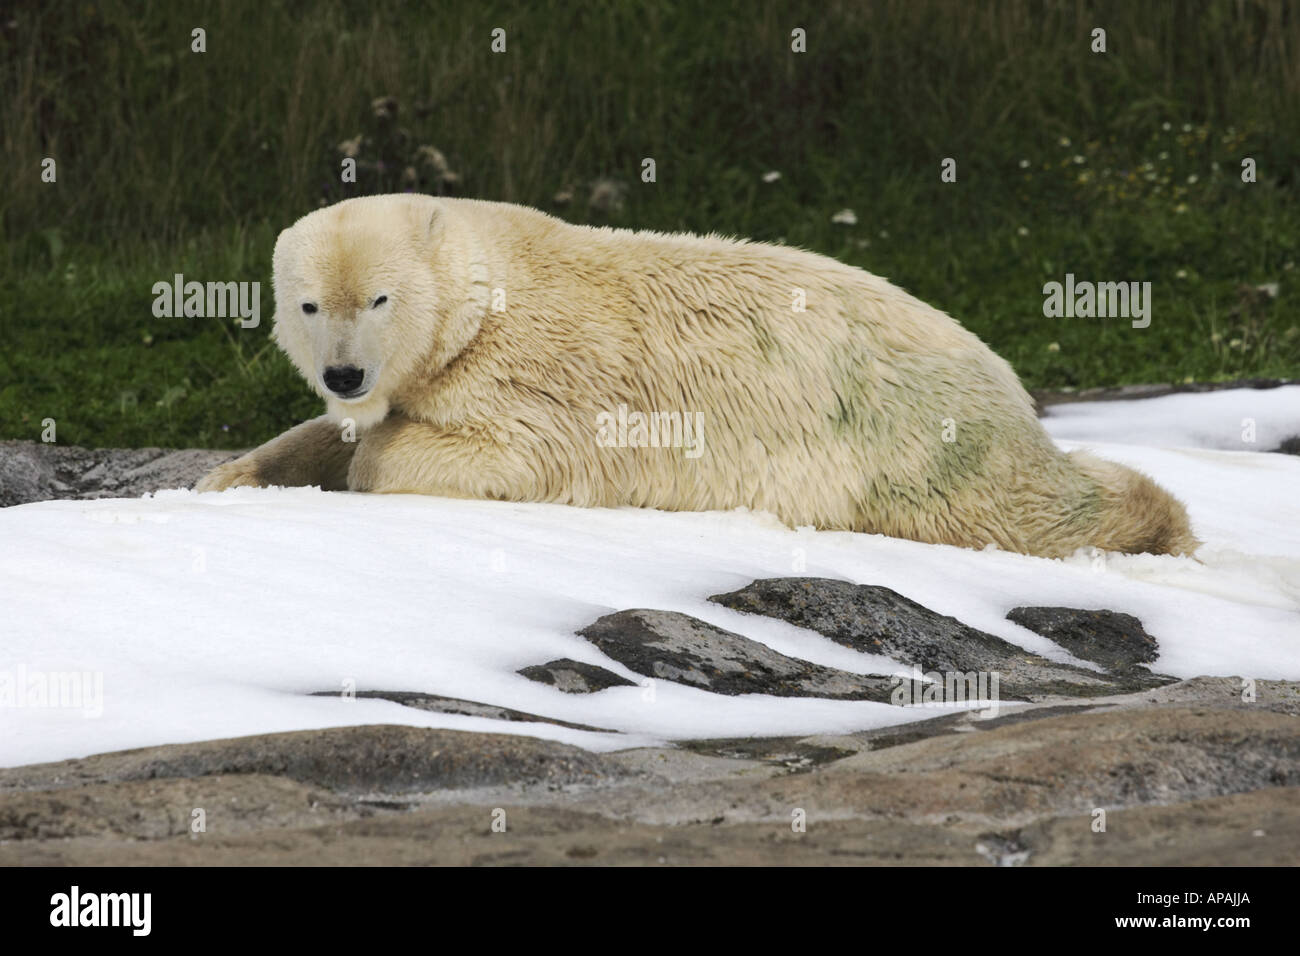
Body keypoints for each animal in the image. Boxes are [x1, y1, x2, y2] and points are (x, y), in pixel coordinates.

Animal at [197, 193, 1201, 556]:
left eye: (380, 298)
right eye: (309, 305)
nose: (347, 374)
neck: (486, 291)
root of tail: (1001, 374)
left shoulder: (544, 385)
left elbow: (507, 454)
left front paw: (373, 459)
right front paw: (231, 475)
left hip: (916, 446)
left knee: (1037, 505)